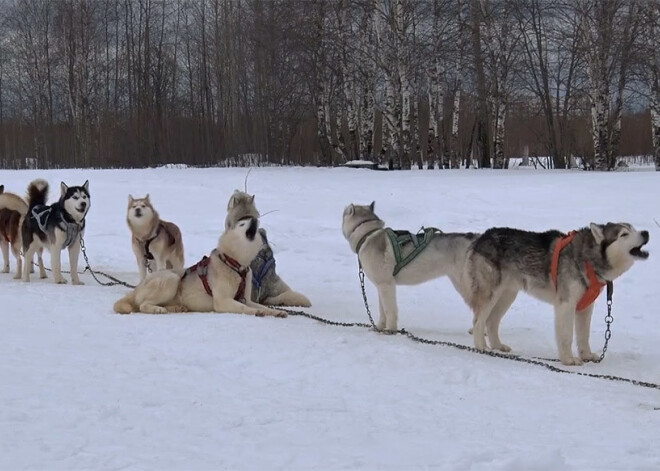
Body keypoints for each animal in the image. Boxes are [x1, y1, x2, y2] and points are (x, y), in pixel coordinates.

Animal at [113, 217, 286, 318]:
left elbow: (259, 305)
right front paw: (255, 311)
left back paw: (176, 308)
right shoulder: (223, 301)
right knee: (143, 305)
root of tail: (138, 286)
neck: (236, 264)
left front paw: (275, 311)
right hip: (172, 279)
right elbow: (244, 308)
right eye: (242, 224)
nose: (255, 219)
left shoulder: (245, 298)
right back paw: (157, 309)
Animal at [342, 202, 476, 332]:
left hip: (465, 285)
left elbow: (389, 310)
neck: (367, 233)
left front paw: (390, 329)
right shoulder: (381, 286)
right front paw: (379, 327)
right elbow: (382, 311)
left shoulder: (386, 284)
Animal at [470, 224, 648, 366]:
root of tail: (483, 236)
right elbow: (566, 336)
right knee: (479, 322)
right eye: (623, 234)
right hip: (491, 295)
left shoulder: (586, 308)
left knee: (491, 322)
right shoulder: (566, 305)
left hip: (507, 295)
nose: (646, 232)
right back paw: (482, 347)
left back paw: (497, 346)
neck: (586, 259)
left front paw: (586, 355)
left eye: (633, 228)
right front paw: (568, 359)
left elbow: (584, 336)